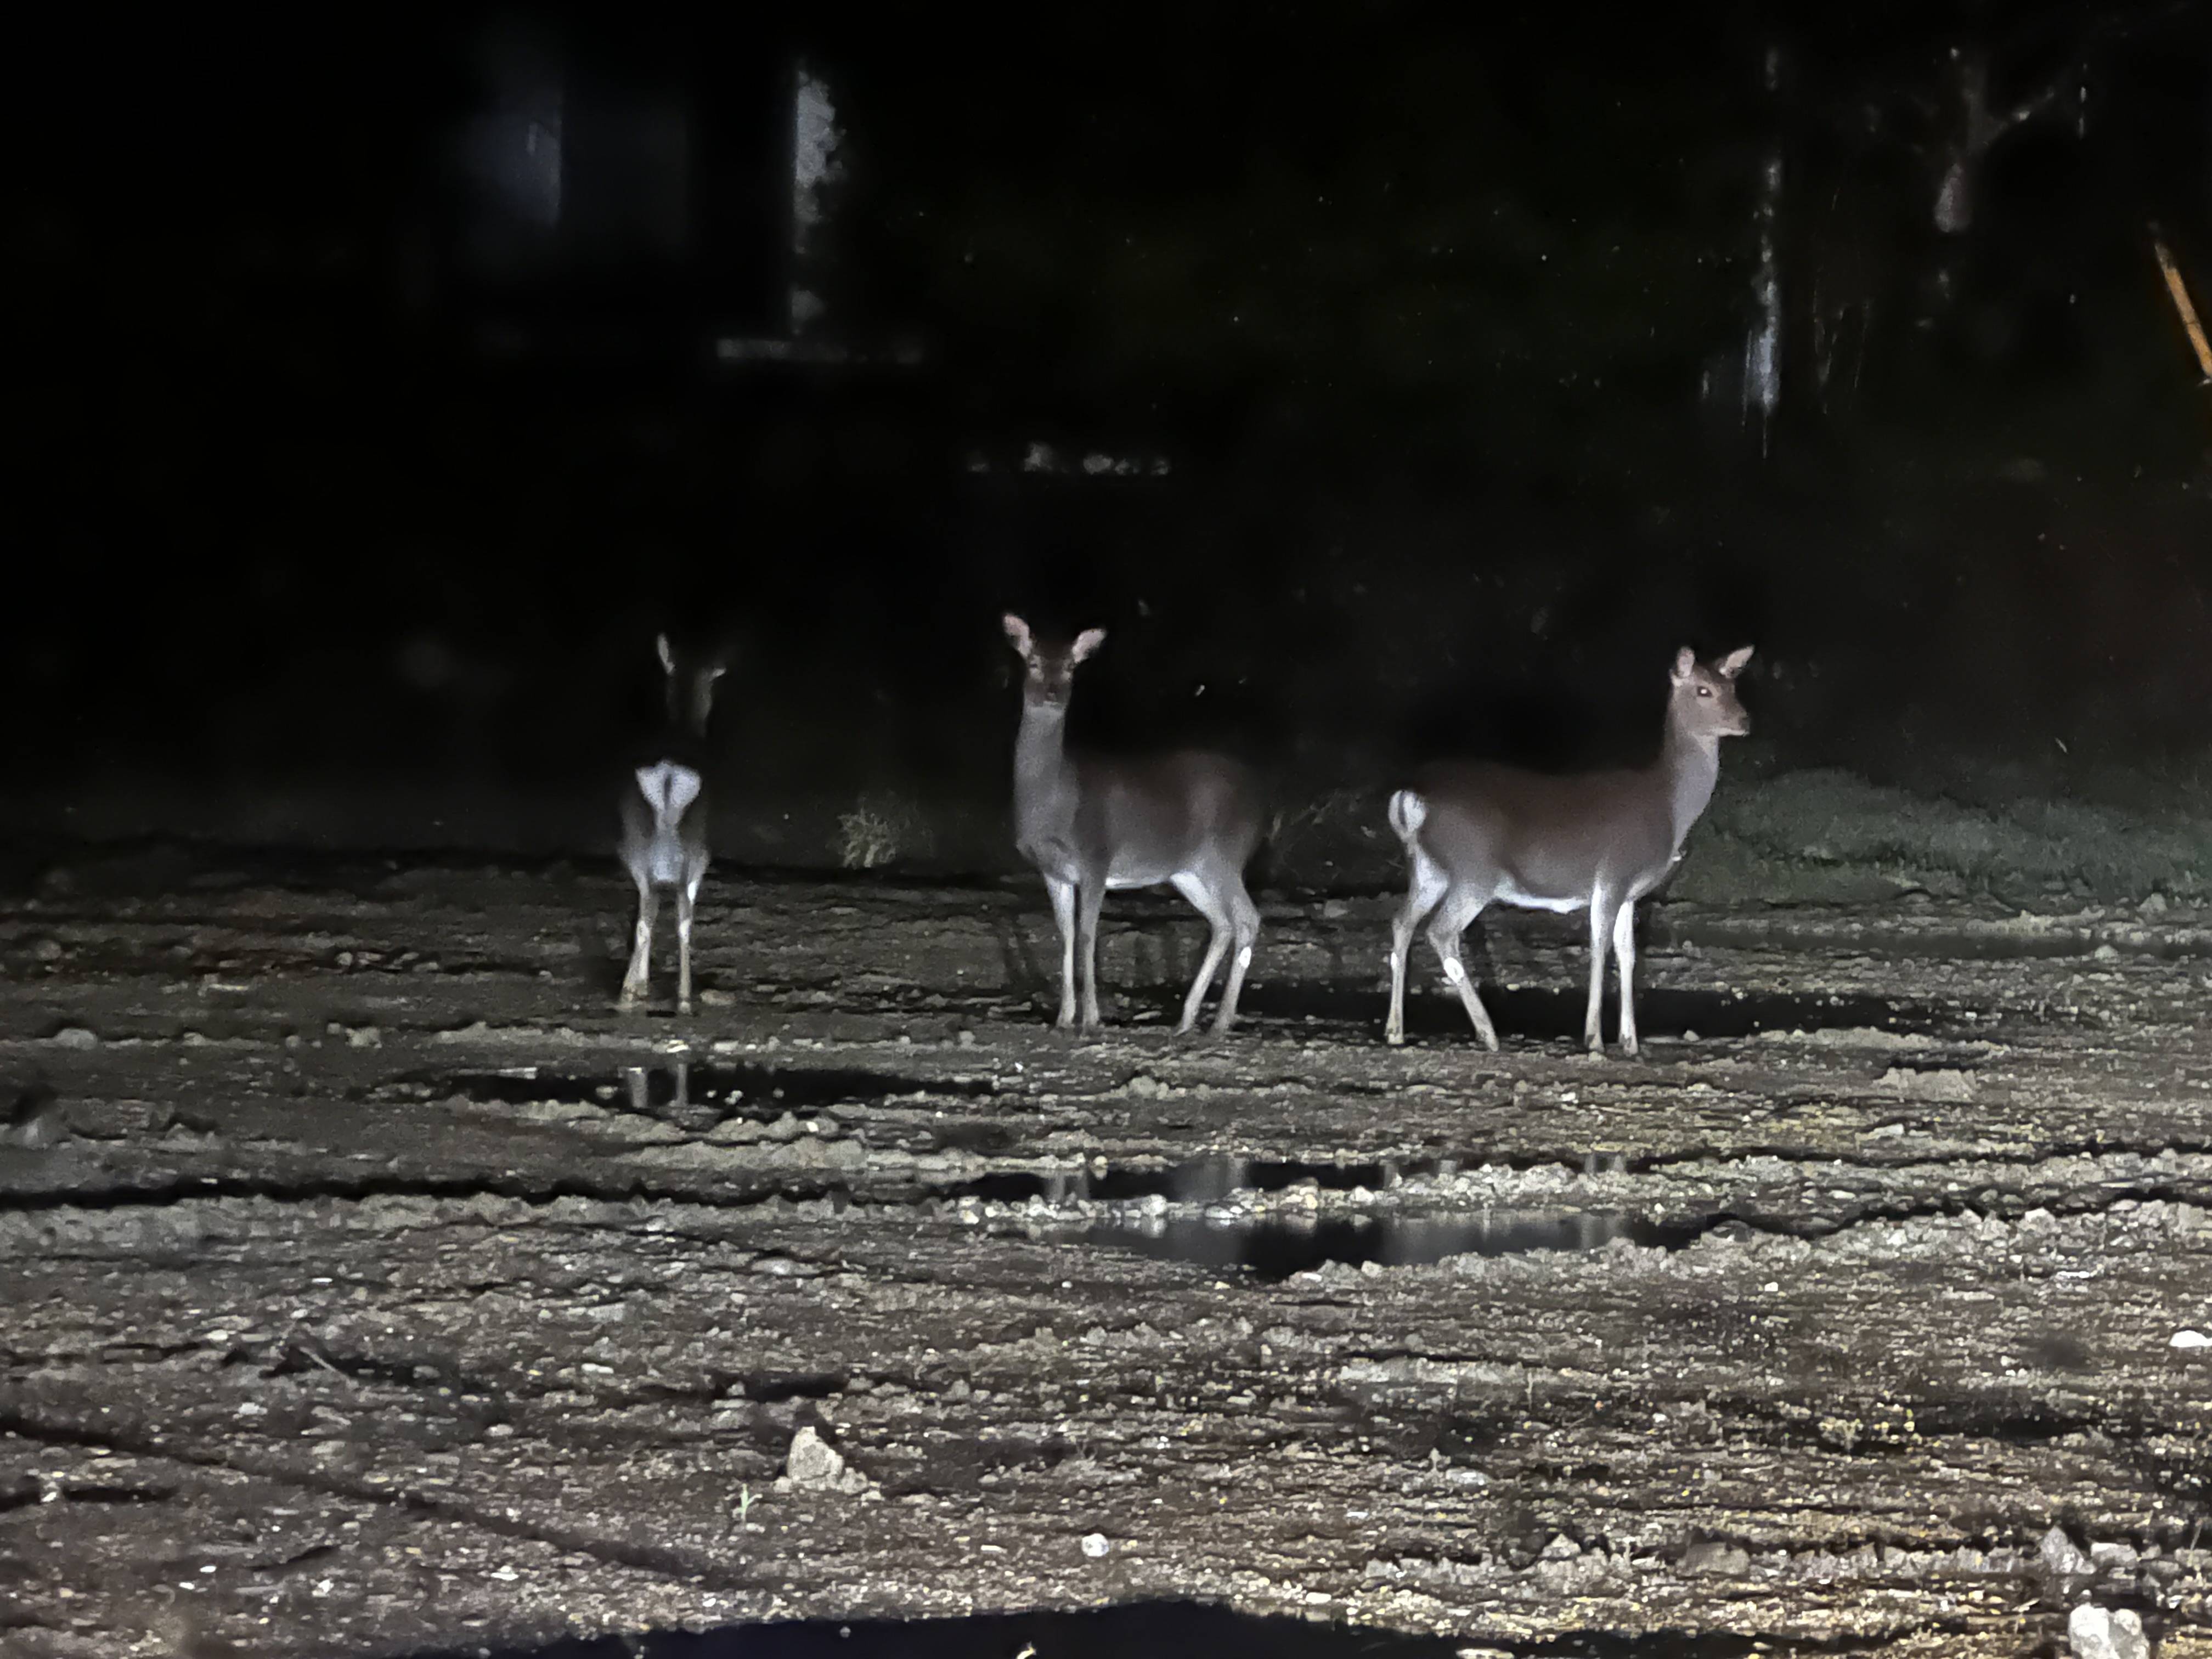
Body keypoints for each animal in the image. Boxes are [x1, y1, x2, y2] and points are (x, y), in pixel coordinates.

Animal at [617, 633, 726, 1016]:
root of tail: (667, 777)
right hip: (695, 856)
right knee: (682, 920)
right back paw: (683, 996)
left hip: (634, 849)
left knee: (645, 913)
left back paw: (630, 991)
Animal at [1002, 614, 1266, 1036]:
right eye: (1034, 662)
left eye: (1071, 666)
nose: (1053, 694)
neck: (1055, 802)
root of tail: (1266, 803)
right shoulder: (1052, 869)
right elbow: (1065, 935)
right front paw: (1064, 1017)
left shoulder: (1097, 855)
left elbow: (1088, 934)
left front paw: (1091, 1018)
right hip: (1188, 870)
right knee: (1223, 922)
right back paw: (1187, 1019)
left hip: (1226, 853)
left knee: (1246, 918)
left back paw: (1220, 1021)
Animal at [1384, 645, 1753, 1057]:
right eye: (1704, 690)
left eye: (1733, 685)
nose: (1745, 720)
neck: (1669, 809)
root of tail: (1409, 799)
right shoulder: (1613, 874)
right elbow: (1600, 950)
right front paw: (1594, 1039)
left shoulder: (1631, 892)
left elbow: (1628, 955)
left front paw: (1631, 1042)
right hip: (1473, 870)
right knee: (1441, 932)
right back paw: (1488, 1032)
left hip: (1428, 867)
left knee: (1402, 923)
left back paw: (1395, 1031)